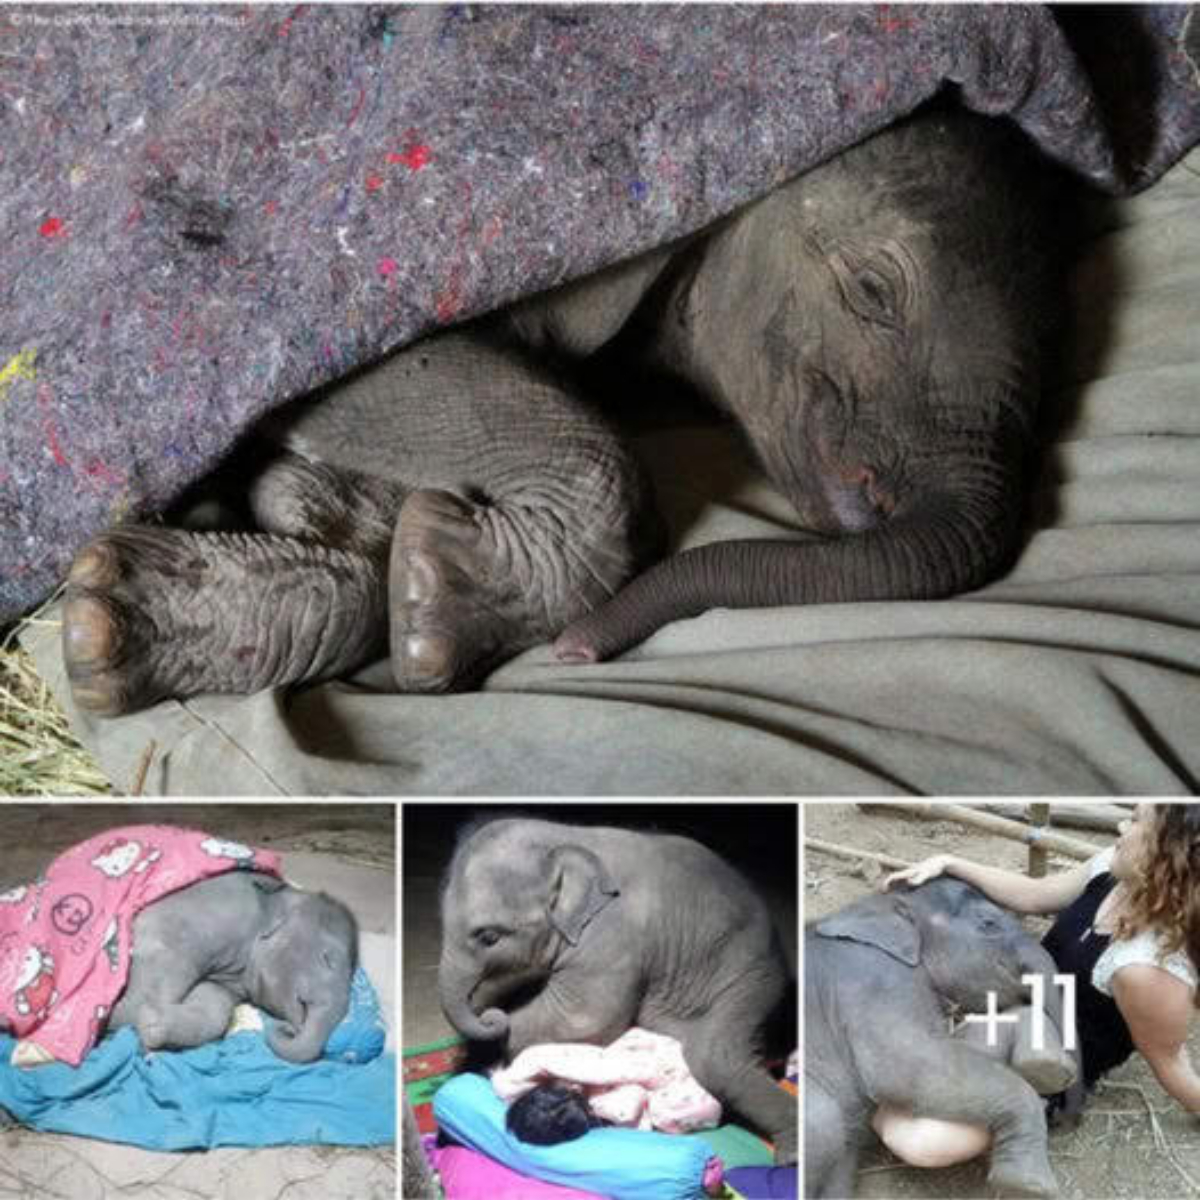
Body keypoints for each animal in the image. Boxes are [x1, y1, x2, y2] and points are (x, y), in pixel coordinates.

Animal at [108, 870, 357, 1063]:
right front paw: (122, 1023)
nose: (288, 1029)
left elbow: (213, 1007)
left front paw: (153, 1027)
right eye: (327, 959)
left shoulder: (230, 980)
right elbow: (166, 957)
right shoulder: (215, 914)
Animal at [436, 817, 797, 1162]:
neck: (566, 839)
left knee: (715, 1059)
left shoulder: (612, 938)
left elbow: (581, 1018)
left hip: (751, 979)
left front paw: (493, 1053)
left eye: (489, 937)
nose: (489, 1016)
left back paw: (789, 1156)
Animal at [805, 878, 1081, 1199]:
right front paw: (1028, 1188)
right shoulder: (873, 979)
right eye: (988, 923)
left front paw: (1049, 1069)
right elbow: (904, 1067)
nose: (1066, 1118)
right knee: (822, 1122)